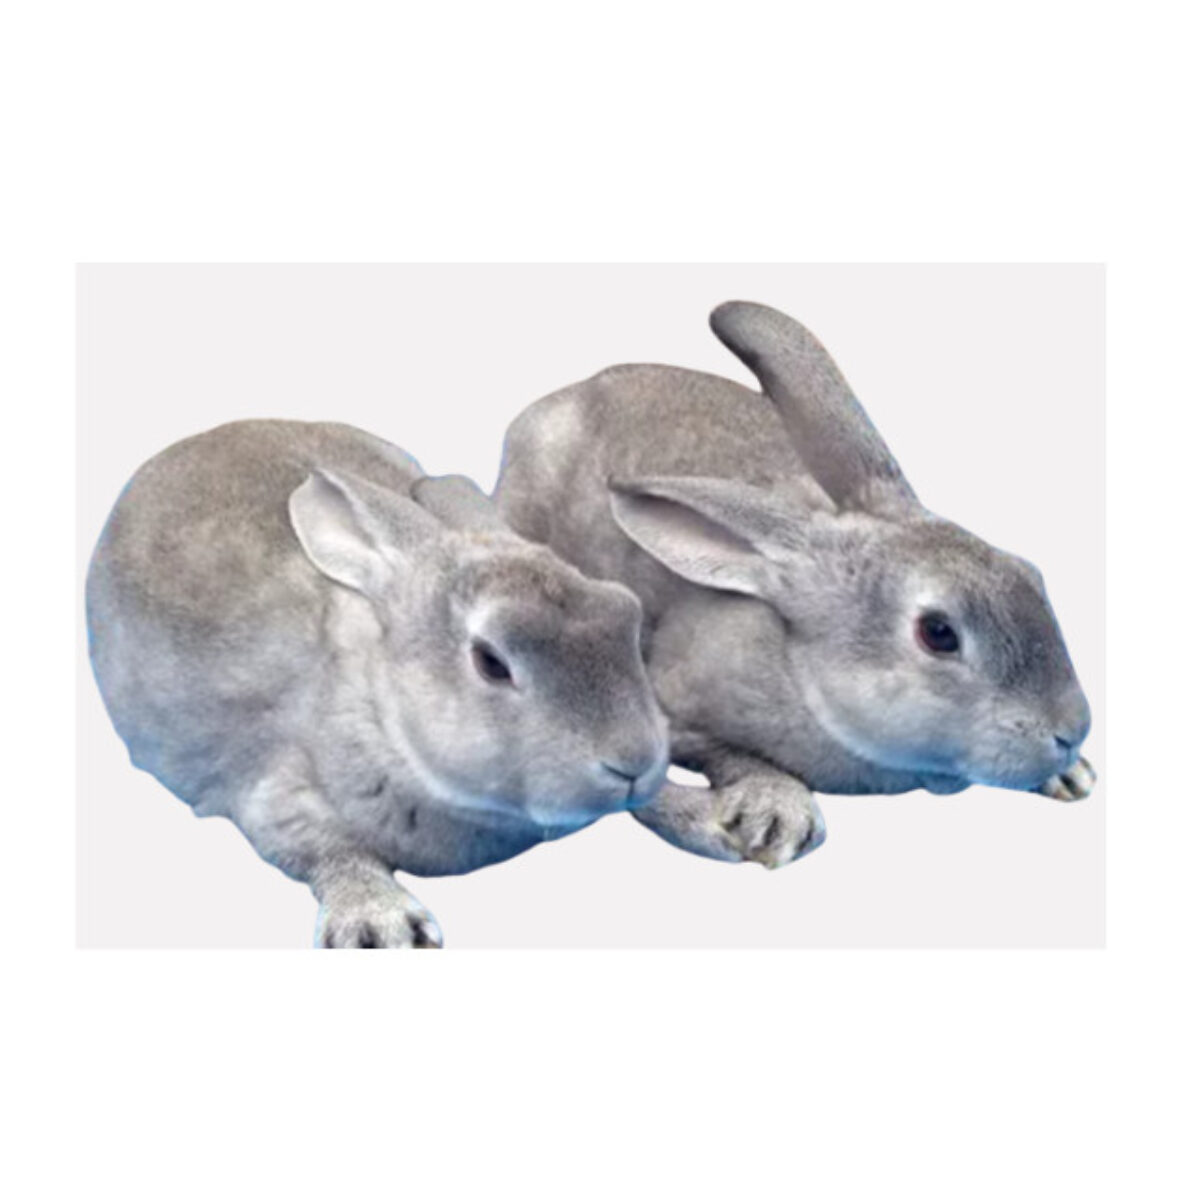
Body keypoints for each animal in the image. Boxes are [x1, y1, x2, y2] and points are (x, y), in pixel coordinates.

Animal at [86, 419, 668, 947]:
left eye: (625, 611)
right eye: (491, 662)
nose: (634, 762)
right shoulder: (273, 793)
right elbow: (330, 851)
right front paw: (384, 925)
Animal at [494, 301, 1095, 869]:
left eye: (1030, 573)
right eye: (939, 633)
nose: (1071, 731)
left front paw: (1072, 777)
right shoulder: (675, 712)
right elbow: (732, 755)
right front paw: (777, 815)